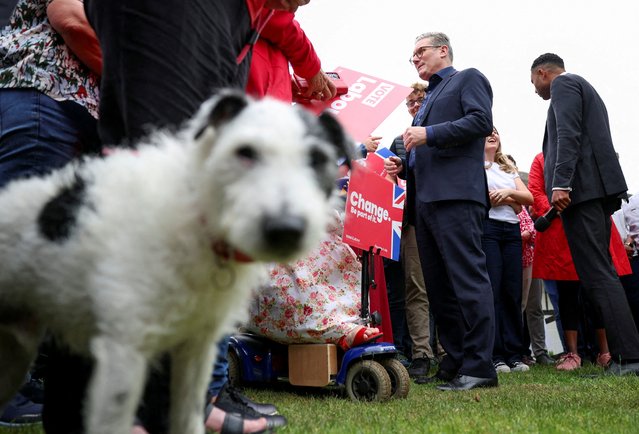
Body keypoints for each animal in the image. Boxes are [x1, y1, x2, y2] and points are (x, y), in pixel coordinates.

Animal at [0, 91, 352, 434]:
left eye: (318, 159)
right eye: (245, 152)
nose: (286, 229)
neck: (198, 215)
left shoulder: (195, 350)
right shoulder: (123, 351)